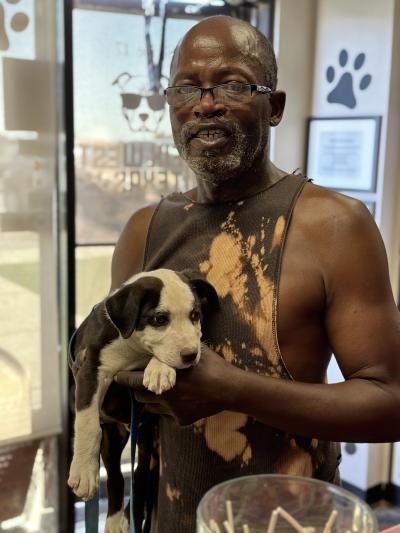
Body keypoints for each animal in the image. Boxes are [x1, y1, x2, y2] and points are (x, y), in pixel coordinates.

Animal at [69, 268, 219, 528]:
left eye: (195, 315)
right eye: (159, 319)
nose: (190, 355)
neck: (133, 348)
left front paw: (159, 370)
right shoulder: (89, 369)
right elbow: (88, 424)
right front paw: (83, 472)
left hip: (147, 438)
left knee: (139, 478)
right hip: (113, 438)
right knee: (117, 479)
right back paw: (114, 523)